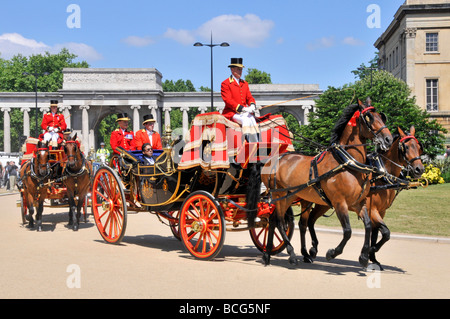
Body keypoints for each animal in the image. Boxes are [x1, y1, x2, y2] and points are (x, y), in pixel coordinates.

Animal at [258, 99, 392, 268]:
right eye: (369, 117)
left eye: (381, 116)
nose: (388, 139)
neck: (346, 162)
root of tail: (274, 159)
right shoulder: (340, 202)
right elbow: (347, 231)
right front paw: (332, 253)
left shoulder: (359, 203)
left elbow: (368, 225)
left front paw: (364, 256)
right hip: (280, 196)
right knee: (280, 221)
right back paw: (291, 254)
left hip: (288, 197)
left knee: (274, 221)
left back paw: (267, 255)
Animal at [300, 126, 424, 268]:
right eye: (406, 147)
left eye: (419, 147)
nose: (419, 169)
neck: (379, 174)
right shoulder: (372, 209)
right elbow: (386, 232)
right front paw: (371, 251)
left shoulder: (381, 211)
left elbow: (376, 233)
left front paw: (373, 258)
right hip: (309, 201)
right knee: (303, 224)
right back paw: (306, 253)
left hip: (324, 203)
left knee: (310, 220)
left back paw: (312, 250)